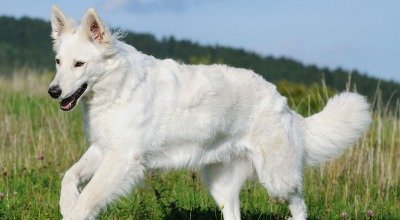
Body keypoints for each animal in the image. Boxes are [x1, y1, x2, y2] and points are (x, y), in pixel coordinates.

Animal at [48, 6, 370, 219]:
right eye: (58, 62)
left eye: (79, 64)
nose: (53, 91)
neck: (117, 86)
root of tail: (284, 105)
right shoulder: (104, 149)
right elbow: (69, 176)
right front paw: (66, 202)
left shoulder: (122, 159)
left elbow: (87, 199)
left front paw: (73, 209)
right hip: (222, 185)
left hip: (277, 179)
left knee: (300, 204)